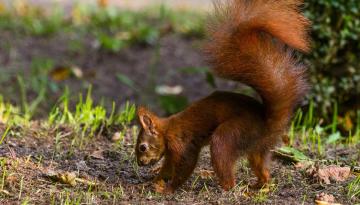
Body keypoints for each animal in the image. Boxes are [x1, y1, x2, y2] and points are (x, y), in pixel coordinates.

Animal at [135, 0, 310, 194]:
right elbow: (166, 169)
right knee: (262, 169)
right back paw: (258, 187)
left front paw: (168, 189)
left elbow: (186, 165)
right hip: (257, 148)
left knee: (226, 167)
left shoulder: (180, 144)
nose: (140, 163)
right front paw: (153, 182)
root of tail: (267, 123)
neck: (166, 131)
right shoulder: (170, 154)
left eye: (143, 147)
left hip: (230, 135)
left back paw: (223, 187)